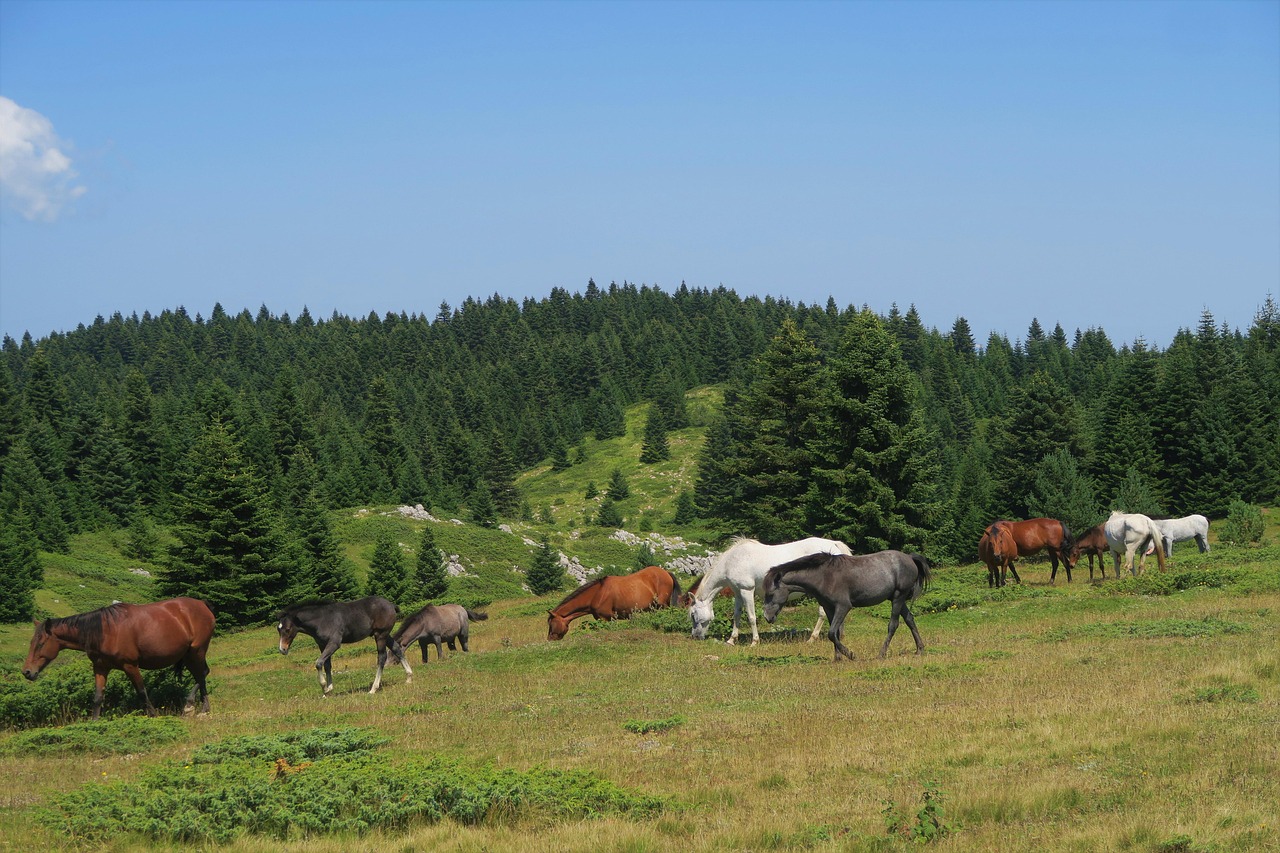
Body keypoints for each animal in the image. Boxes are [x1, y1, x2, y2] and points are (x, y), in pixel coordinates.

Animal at [22, 597, 215, 720]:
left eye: (41, 643)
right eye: (31, 642)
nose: (27, 672)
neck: (104, 632)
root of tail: (203, 605)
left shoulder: (130, 666)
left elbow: (142, 693)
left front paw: (153, 715)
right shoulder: (100, 668)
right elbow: (98, 697)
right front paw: (94, 723)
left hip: (196, 651)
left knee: (202, 673)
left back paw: (196, 707)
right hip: (187, 654)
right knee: (202, 674)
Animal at [276, 595, 412, 695]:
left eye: (287, 629)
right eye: (278, 629)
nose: (283, 649)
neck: (322, 620)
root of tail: (391, 605)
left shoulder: (334, 643)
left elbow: (318, 663)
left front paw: (324, 687)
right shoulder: (322, 644)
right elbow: (327, 665)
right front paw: (329, 689)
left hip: (380, 635)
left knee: (382, 657)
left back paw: (373, 688)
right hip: (384, 635)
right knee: (397, 649)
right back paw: (409, 677)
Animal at [547, 565, 681, 640]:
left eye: (551, 624)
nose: (550, 639)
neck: (597, 593)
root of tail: (666, 573)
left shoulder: (606, 618)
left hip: (662, 605)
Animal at [688, 537, 853, 646]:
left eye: (693, 614)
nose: (695, 636)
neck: (732, 561)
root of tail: (834, 545)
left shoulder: (747, 591)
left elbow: (751, 617)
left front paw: (754, 642)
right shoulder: (738, 593)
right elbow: (737, 616)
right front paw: (731, 640)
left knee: (822, 613)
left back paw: (812, 638)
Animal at [762, 550, 931, 662]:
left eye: (770, 593)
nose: (767, 617)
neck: (824, 576)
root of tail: (909, 557)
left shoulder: (843, 607)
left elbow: (831, 633)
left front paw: (850, 654)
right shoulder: (829, 608)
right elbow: (835, 633)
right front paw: (837, 658)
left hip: (898, 598)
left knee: (893, 625)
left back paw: (881, 654)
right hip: (898, 600)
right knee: (910, 619)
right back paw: (919, 649)